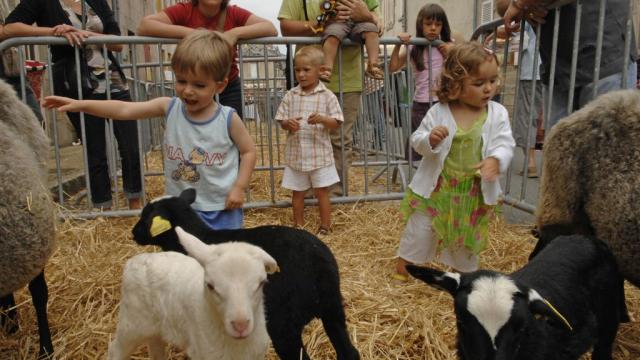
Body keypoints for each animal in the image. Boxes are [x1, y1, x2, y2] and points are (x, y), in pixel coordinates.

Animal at [107, 226, 278, 358]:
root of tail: (135, 260)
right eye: (210, 285)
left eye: (261, 283)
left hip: (155, 328)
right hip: (131, 324)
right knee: (115, 350)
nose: (240, 325)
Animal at [130, 188, 360, 360]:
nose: (133, 233)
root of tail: (318, 262)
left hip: (283, 324)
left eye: (146, 216)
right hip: (333, 309)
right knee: (349, 353)